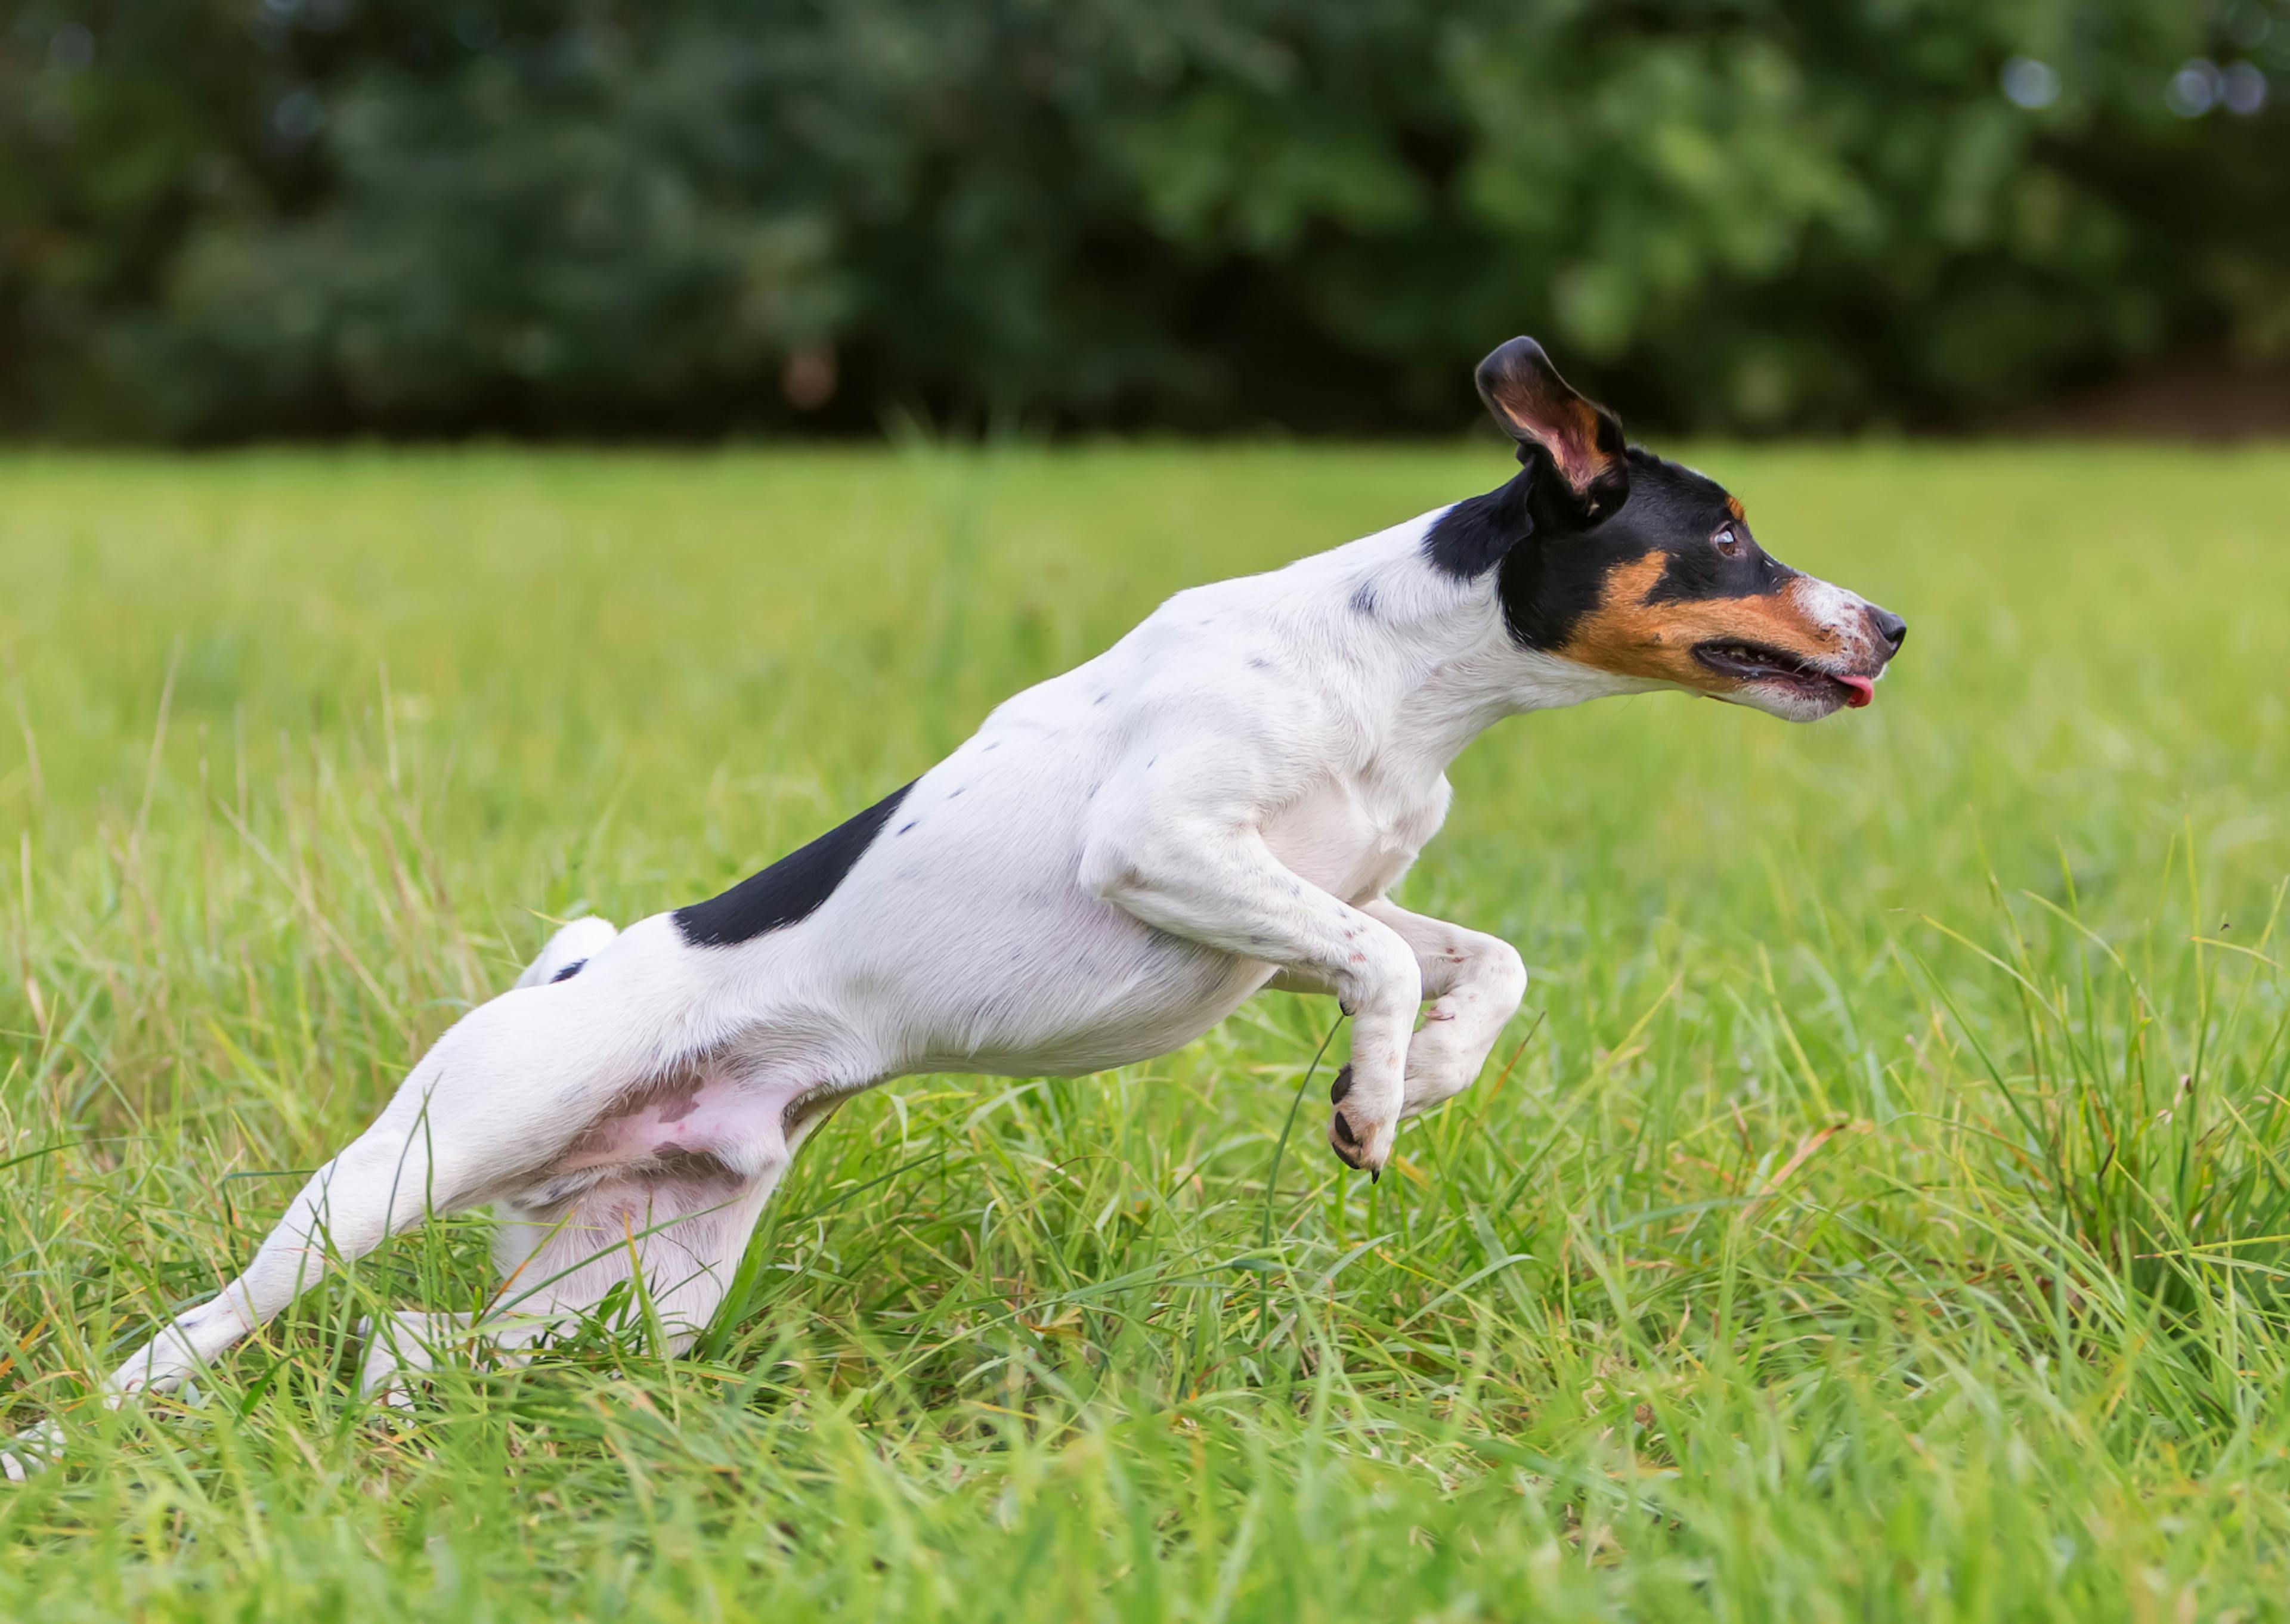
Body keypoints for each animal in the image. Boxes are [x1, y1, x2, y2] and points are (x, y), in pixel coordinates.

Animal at [0, 332, 1896, 1465]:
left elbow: (1463, 962)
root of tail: (563, 986)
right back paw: (70, 1445)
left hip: (633, 1285)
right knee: (208, 1326)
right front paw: (1373, 1098)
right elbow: (1377, 960)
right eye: (1728, 535)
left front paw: (1414, 1080)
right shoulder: (1169, 854)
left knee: (406, 1348)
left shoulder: (1280, 909)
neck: (1395, 672)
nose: (1886, 622)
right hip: (409, 1165)